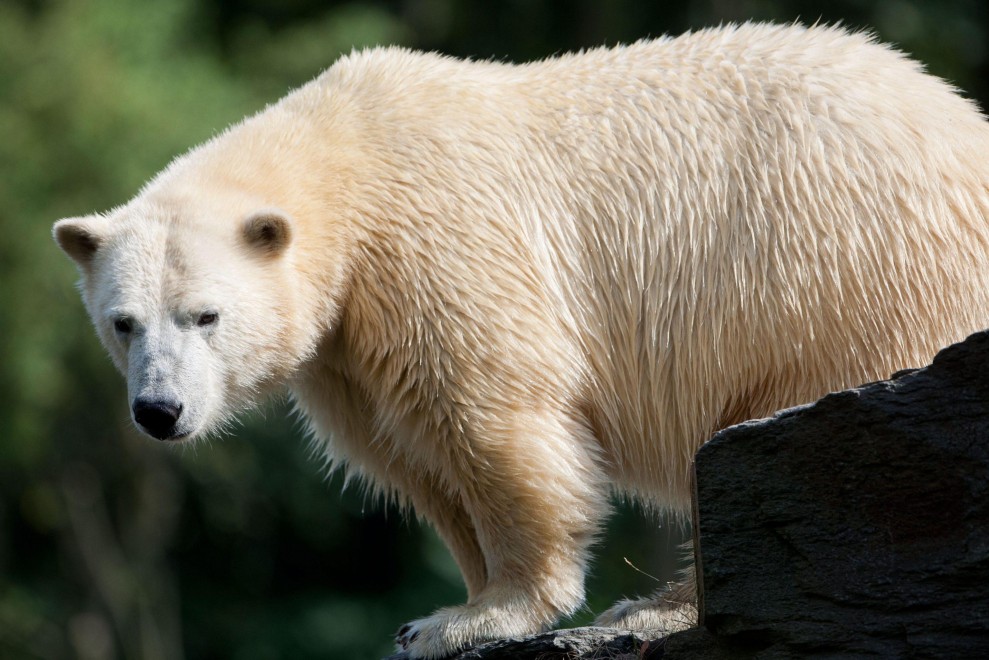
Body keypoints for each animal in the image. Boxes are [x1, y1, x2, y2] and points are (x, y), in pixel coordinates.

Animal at [53, 22, 989, 659]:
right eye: (123, 322)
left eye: (205, 315)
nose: (160, 410)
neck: (348, 159)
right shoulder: (346, 346)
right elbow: (413, 454)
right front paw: (455, 600)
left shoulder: (441, 244)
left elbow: (492, 420)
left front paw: (465, 618)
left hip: (839, 269)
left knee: (772, 433)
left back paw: (658, 604)